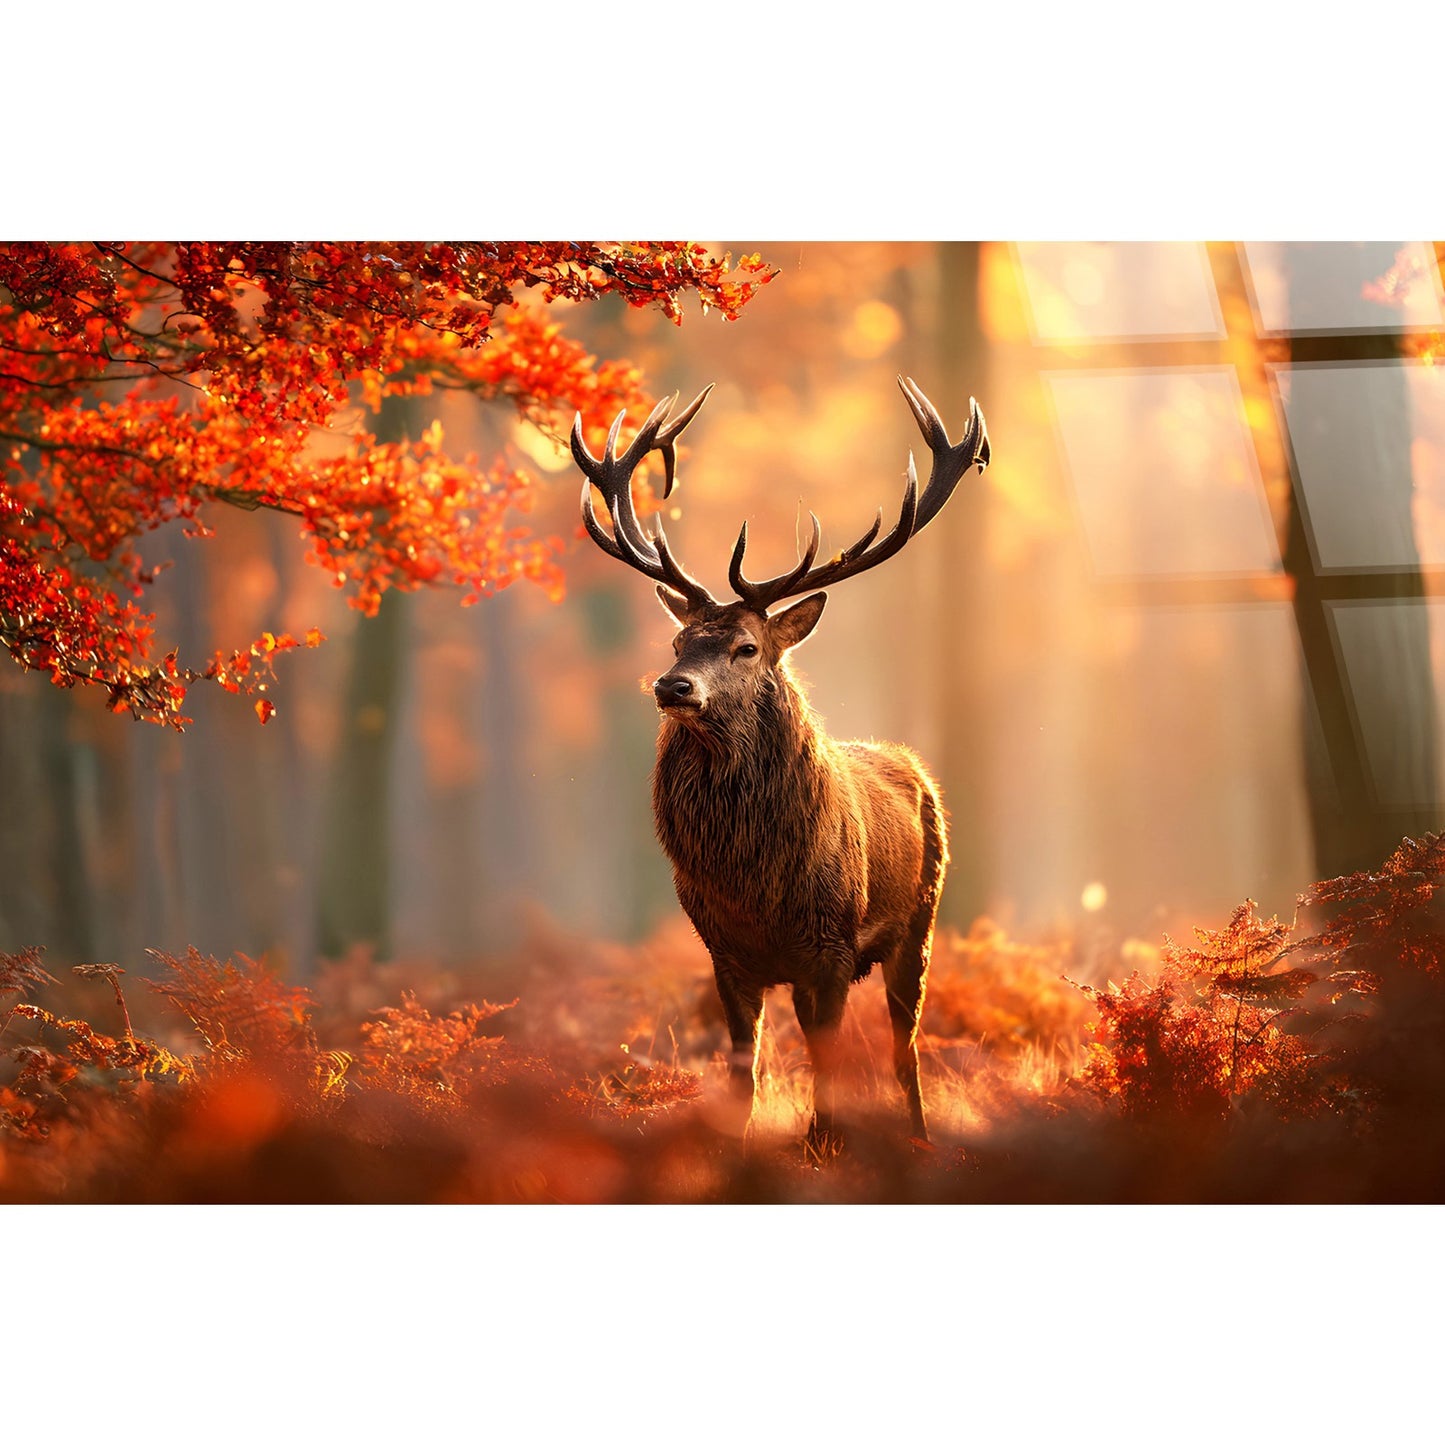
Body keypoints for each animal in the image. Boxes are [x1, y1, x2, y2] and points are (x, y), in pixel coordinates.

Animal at [570, 377, 990, 1146]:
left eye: (746, 647)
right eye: (678, 642)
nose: (670, 686)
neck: (755, 880)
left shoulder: (830, 945)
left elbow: (829, 1061)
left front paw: (824, 1145)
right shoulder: (726, 951)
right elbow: (746, 1068)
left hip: (920, 921)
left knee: (905, 1042)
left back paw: (919, 1136)